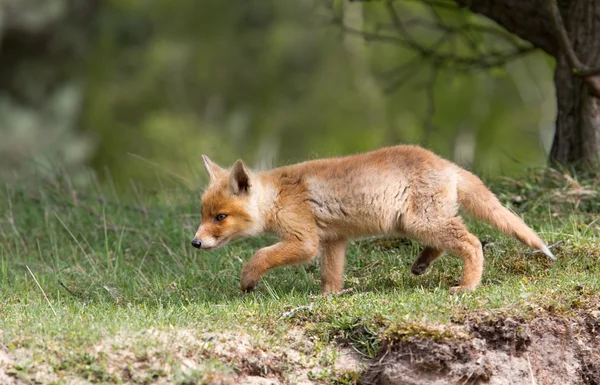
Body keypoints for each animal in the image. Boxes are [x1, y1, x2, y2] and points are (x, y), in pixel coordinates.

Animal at [191, 145, 552, 294]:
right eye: (203, 215)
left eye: (220, 217)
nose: (195, 242)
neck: (277, 197)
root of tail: (447, 163)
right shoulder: (333, 240)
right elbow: (331, 275)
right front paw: (329, 298)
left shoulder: (305, 241)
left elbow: (260, 255)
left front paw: (248, 280)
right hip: (417, 224)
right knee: (445, 244)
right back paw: (422, 264)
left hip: (421, 222)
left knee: (473, 242)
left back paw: (467, 285)